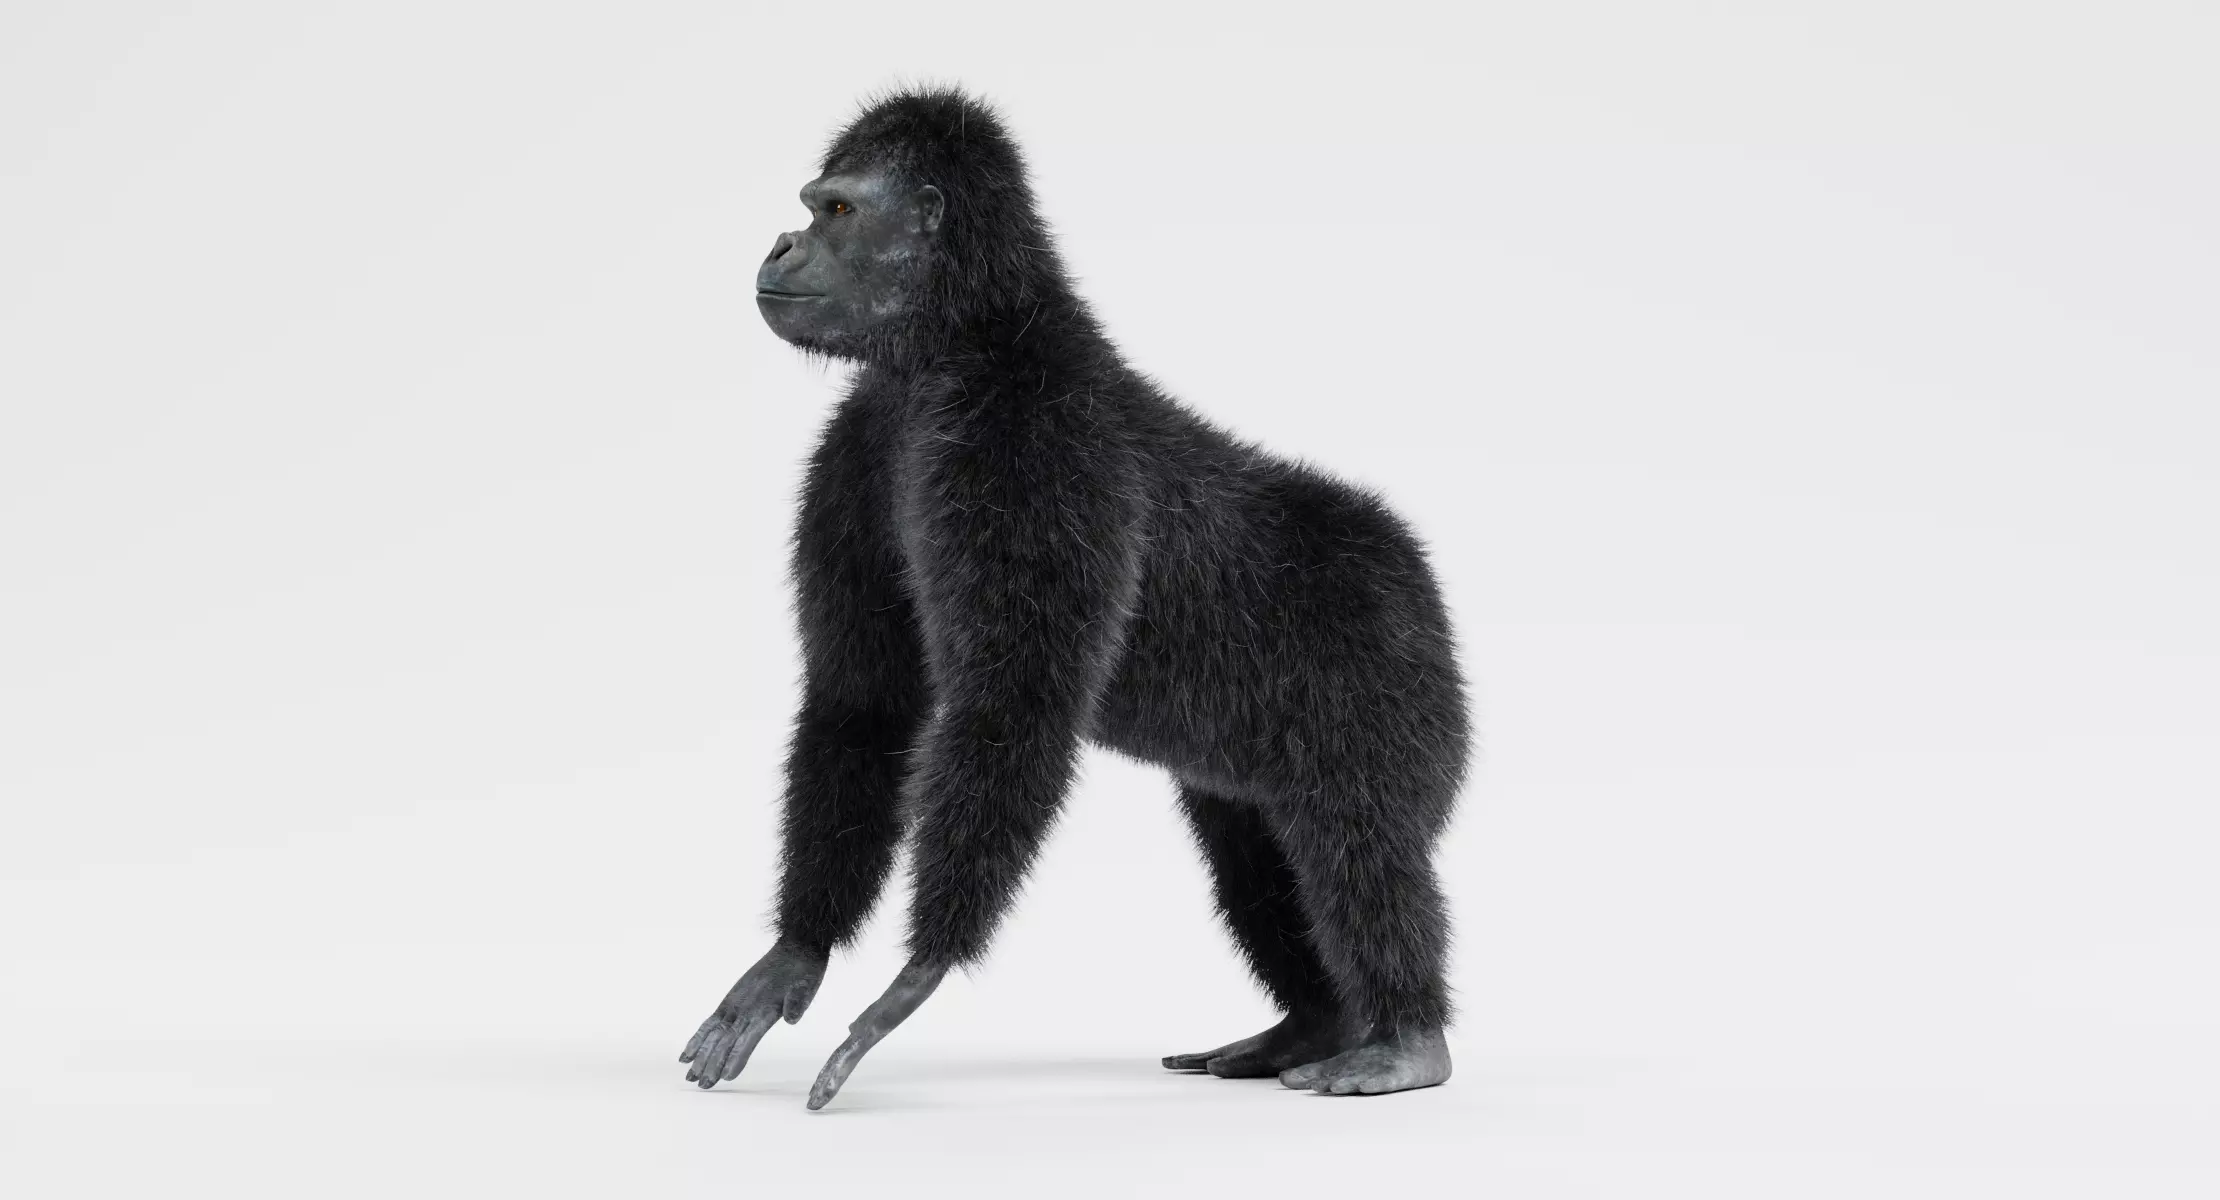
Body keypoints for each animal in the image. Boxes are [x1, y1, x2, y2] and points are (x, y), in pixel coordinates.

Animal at [679, 86, 1471, 1108]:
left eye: (837, 210)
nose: (782, 242)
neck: (965, 341)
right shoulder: (853, 446)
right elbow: (862, 701)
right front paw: (794, 953)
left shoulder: (1038, 448)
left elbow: (1015, 702)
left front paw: (918, 972)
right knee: (1259, 851)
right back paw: (1312, 1025)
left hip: (1389, 670)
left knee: (1358, 840)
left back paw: (1405, 1038)